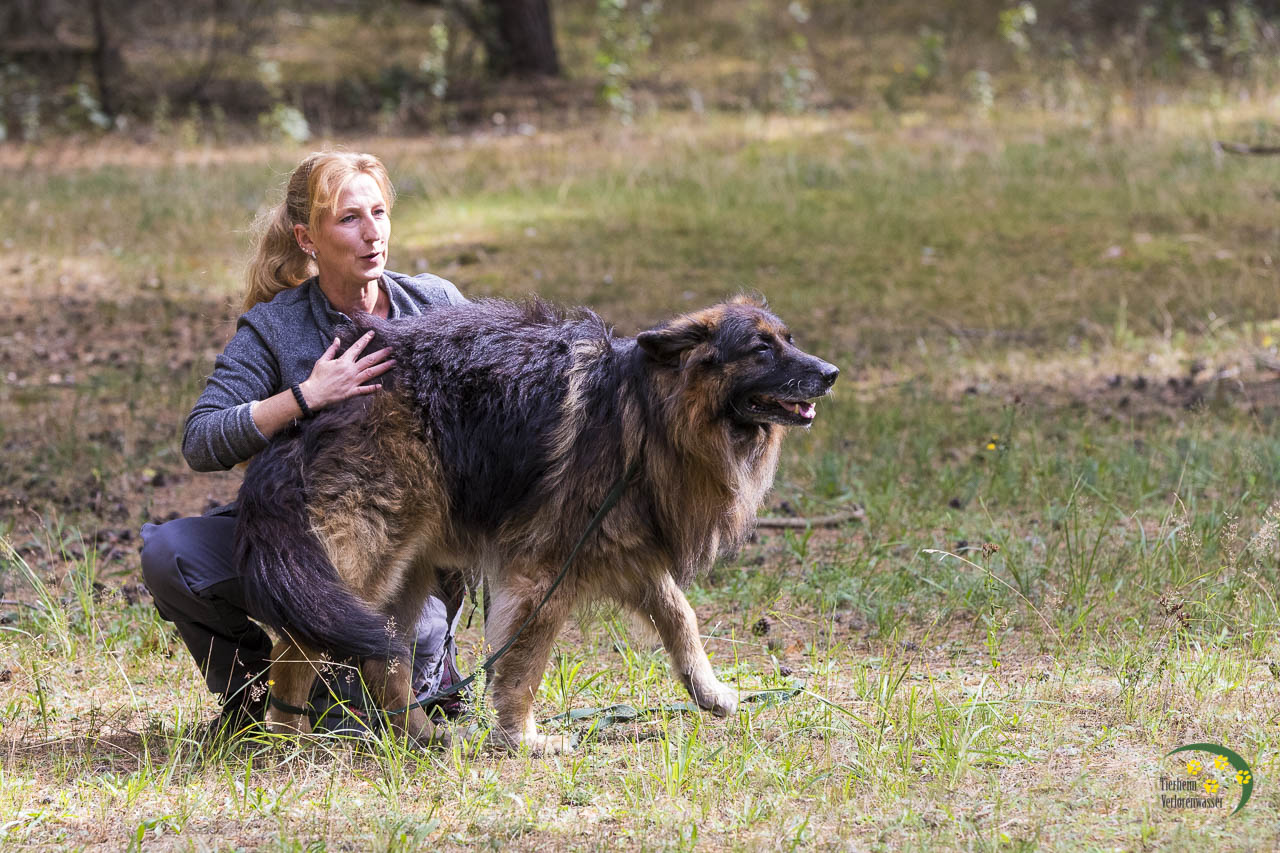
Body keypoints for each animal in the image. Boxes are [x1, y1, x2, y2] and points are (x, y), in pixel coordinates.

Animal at [236, 295, 838, 753]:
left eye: (787, 339)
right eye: (761, 348)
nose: (831, 374)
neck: (646, 415)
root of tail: (311, 408)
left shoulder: (626, 551)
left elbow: (680, 618)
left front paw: (709, 692)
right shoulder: (544, 574)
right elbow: (524, 667)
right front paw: (523, 739)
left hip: (406, 568)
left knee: (386, 661)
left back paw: (424, 735)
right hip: (363, 560)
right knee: (299, 644)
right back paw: (286, 739)